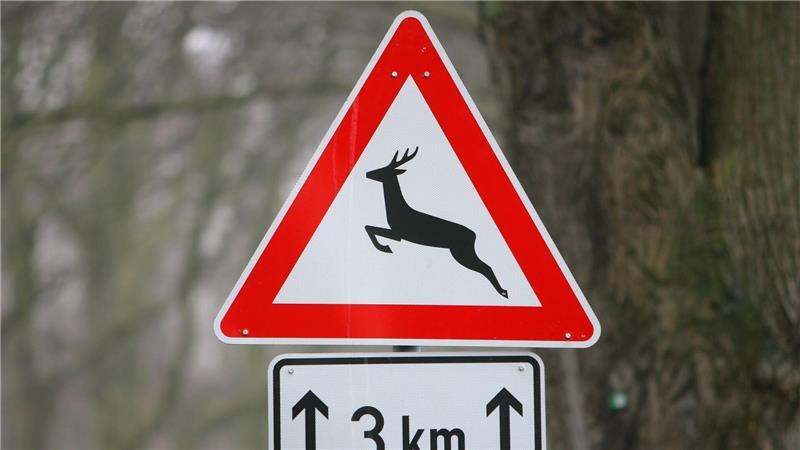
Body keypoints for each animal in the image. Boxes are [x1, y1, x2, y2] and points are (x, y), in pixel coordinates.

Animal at [365, 147, 508, 298]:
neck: (397, 209)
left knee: (486, 267)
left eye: (383, 170)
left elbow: (370, 228)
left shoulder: (398, 233)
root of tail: (474, 235)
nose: (367, 173)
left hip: (462, 252)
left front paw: (385, 247)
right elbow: (369, 227)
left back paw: (503, 292)